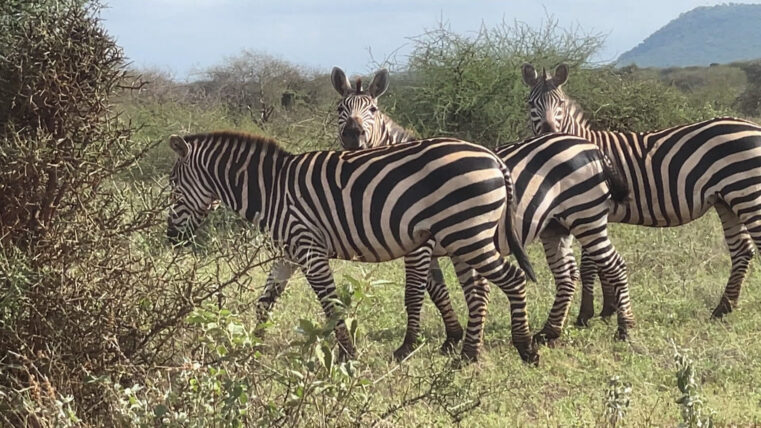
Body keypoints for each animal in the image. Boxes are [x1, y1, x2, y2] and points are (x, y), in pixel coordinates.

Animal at [166, 131, 539, 363]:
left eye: (173, 188)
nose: (172, 239)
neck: (272, 192)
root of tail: (492, 157)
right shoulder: (289, 252)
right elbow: (265, 301)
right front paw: (250, 346)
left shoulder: (309, 247)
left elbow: (331, 304)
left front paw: (348, 354)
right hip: (468, 236)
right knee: (481, 290)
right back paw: (468, 355)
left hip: (468, 234)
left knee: (514, 280)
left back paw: (525, 349)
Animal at [522, 63, 761, 324]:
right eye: (531, 103)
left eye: (561, 103)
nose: (548, 132)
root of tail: (754, 126)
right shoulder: (595, 214)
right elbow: (600, 265)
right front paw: (608, 310)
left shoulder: (587, 210)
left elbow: (589, 266)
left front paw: (586, 315)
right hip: (727, 200)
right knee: (742, 250)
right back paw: (723, 309)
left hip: (748, 193)